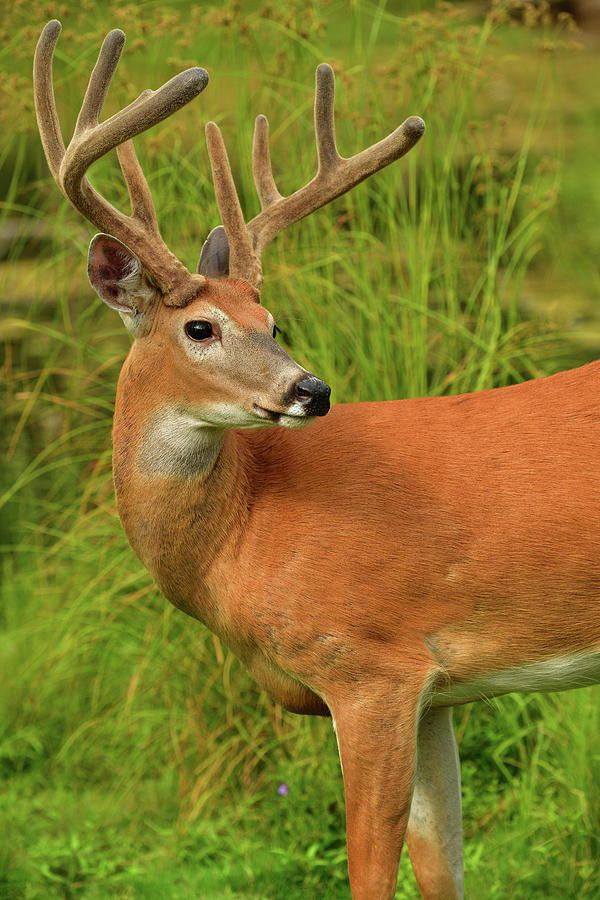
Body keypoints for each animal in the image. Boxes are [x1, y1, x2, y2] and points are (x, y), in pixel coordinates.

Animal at [34, 19, 600, 900]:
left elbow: (371, 872)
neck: (243, 532)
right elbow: (442, 871)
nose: (311, 388)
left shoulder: (371, 664)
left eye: (272, 319)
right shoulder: (439, 691)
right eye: (201, 327)